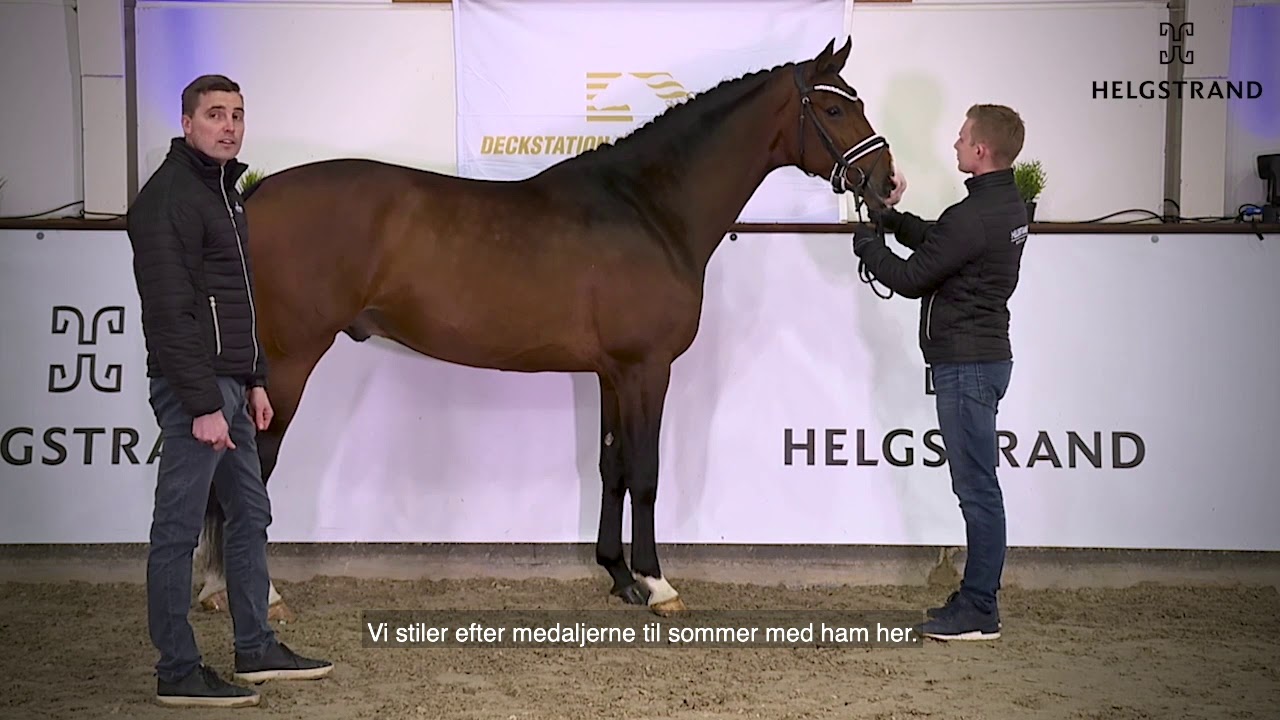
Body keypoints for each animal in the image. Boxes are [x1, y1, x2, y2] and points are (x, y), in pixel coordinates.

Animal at [193, 37, 896, 619]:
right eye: (833, 110)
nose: (889, 183)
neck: (650, 209)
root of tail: (249, 197)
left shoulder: (614, 373)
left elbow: (613, 466)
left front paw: (619, 577)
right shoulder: (646, 369)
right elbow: (646, 471)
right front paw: (658, 584)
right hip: (286, 365)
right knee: (254, 465)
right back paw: (256, 595)